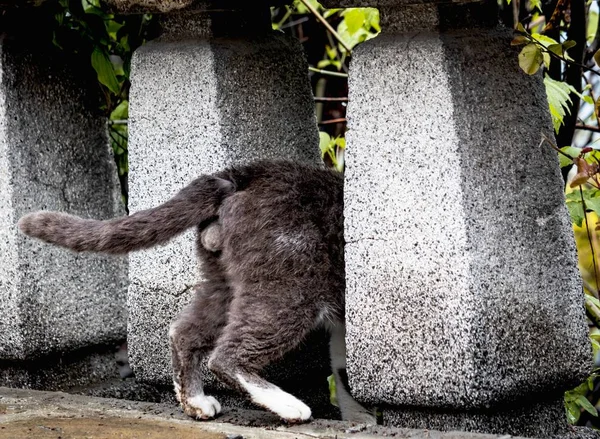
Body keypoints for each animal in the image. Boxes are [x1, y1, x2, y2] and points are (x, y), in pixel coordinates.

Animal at [17, 160, 376, 424]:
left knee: (184, 331)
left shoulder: (344, 331)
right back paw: (288, 406)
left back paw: (196, 402)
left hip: (226, 282)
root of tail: (237, 175)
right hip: (291, 282)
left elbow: (345, 374)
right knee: (227, 355)